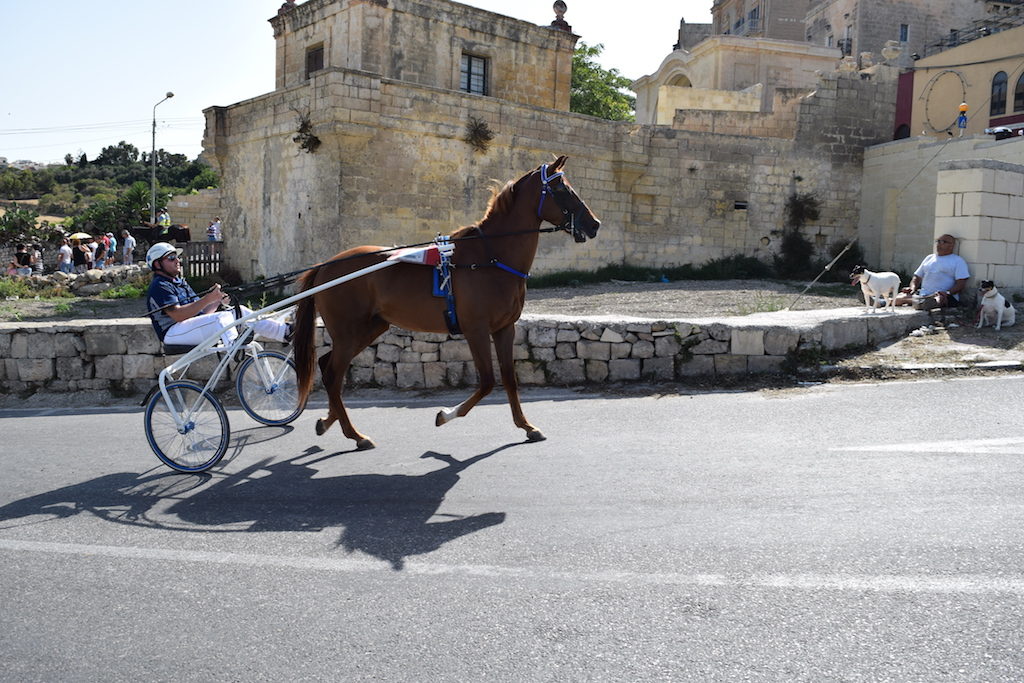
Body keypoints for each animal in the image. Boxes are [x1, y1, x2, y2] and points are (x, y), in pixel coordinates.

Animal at [292, 156, 598, 450]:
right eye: (561, 188)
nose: (595, 224)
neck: (490, 257)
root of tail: (325, 266)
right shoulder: (476, 329)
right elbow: (487, 381)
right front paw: (445, 414)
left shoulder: (504, 328)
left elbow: (509, 378)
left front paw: (527, 427)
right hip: (348, 332)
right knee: (333, 375)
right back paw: (355, 434)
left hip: (370, 328)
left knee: (327, 367)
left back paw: (329, 421)